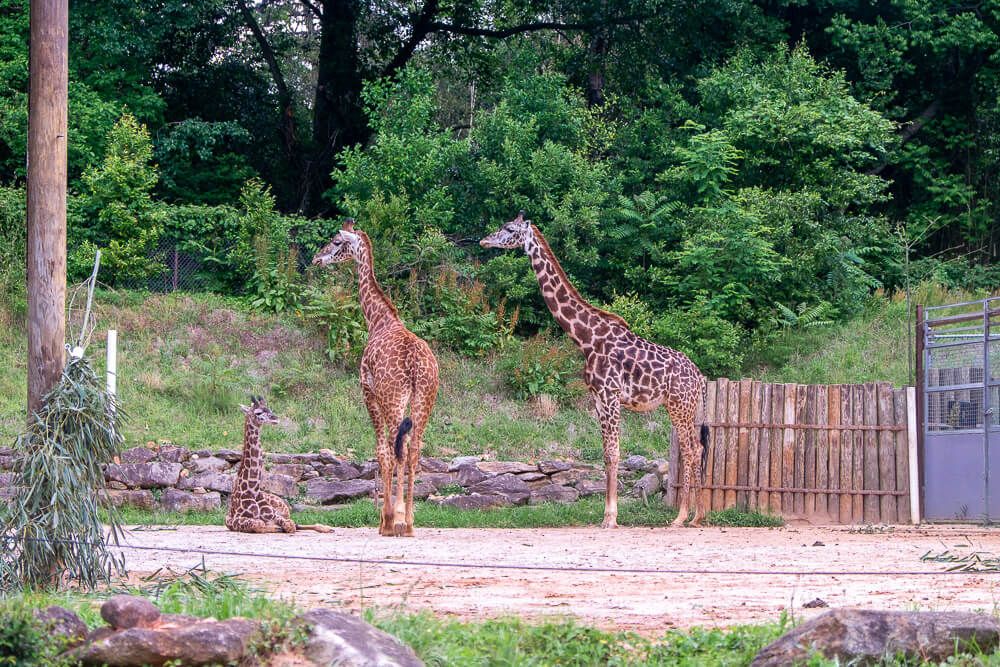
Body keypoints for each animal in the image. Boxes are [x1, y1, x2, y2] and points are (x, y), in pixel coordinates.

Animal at [227, 396, 336, 536]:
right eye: (258, 412)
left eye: (269, 409)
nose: (275, 418)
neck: (253, 490)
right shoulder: (234, 520)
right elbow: (259, 524)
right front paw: (274, 527)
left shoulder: (276, 516)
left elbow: (290, 526)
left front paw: (279, 527)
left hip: (283, 509)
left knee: (296, 523)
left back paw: (327, 528)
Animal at [310, 219, 440, 536]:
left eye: (335, 242)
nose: (316, 259)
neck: (378, 320)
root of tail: (417, 362)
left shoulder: (367, 391)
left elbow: (381, 451)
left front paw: (385, 520)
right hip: (425, 399)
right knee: (414, 449)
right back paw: (411, 522)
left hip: (394, 398)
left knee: (398, 449)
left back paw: (398, 520)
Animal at [478, 211, 708, 528]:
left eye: (510, 229)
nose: (484, 240)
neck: (586, 338)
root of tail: (700, 378)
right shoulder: (597, 399)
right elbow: (606, 455)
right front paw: (607, 515)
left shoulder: (610, 396)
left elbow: (614, 453)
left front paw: (611, 518)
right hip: (687, 407)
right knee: (696, 449)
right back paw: (697, 515)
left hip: (679, 405)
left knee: (690, 450)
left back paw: (683, 516)